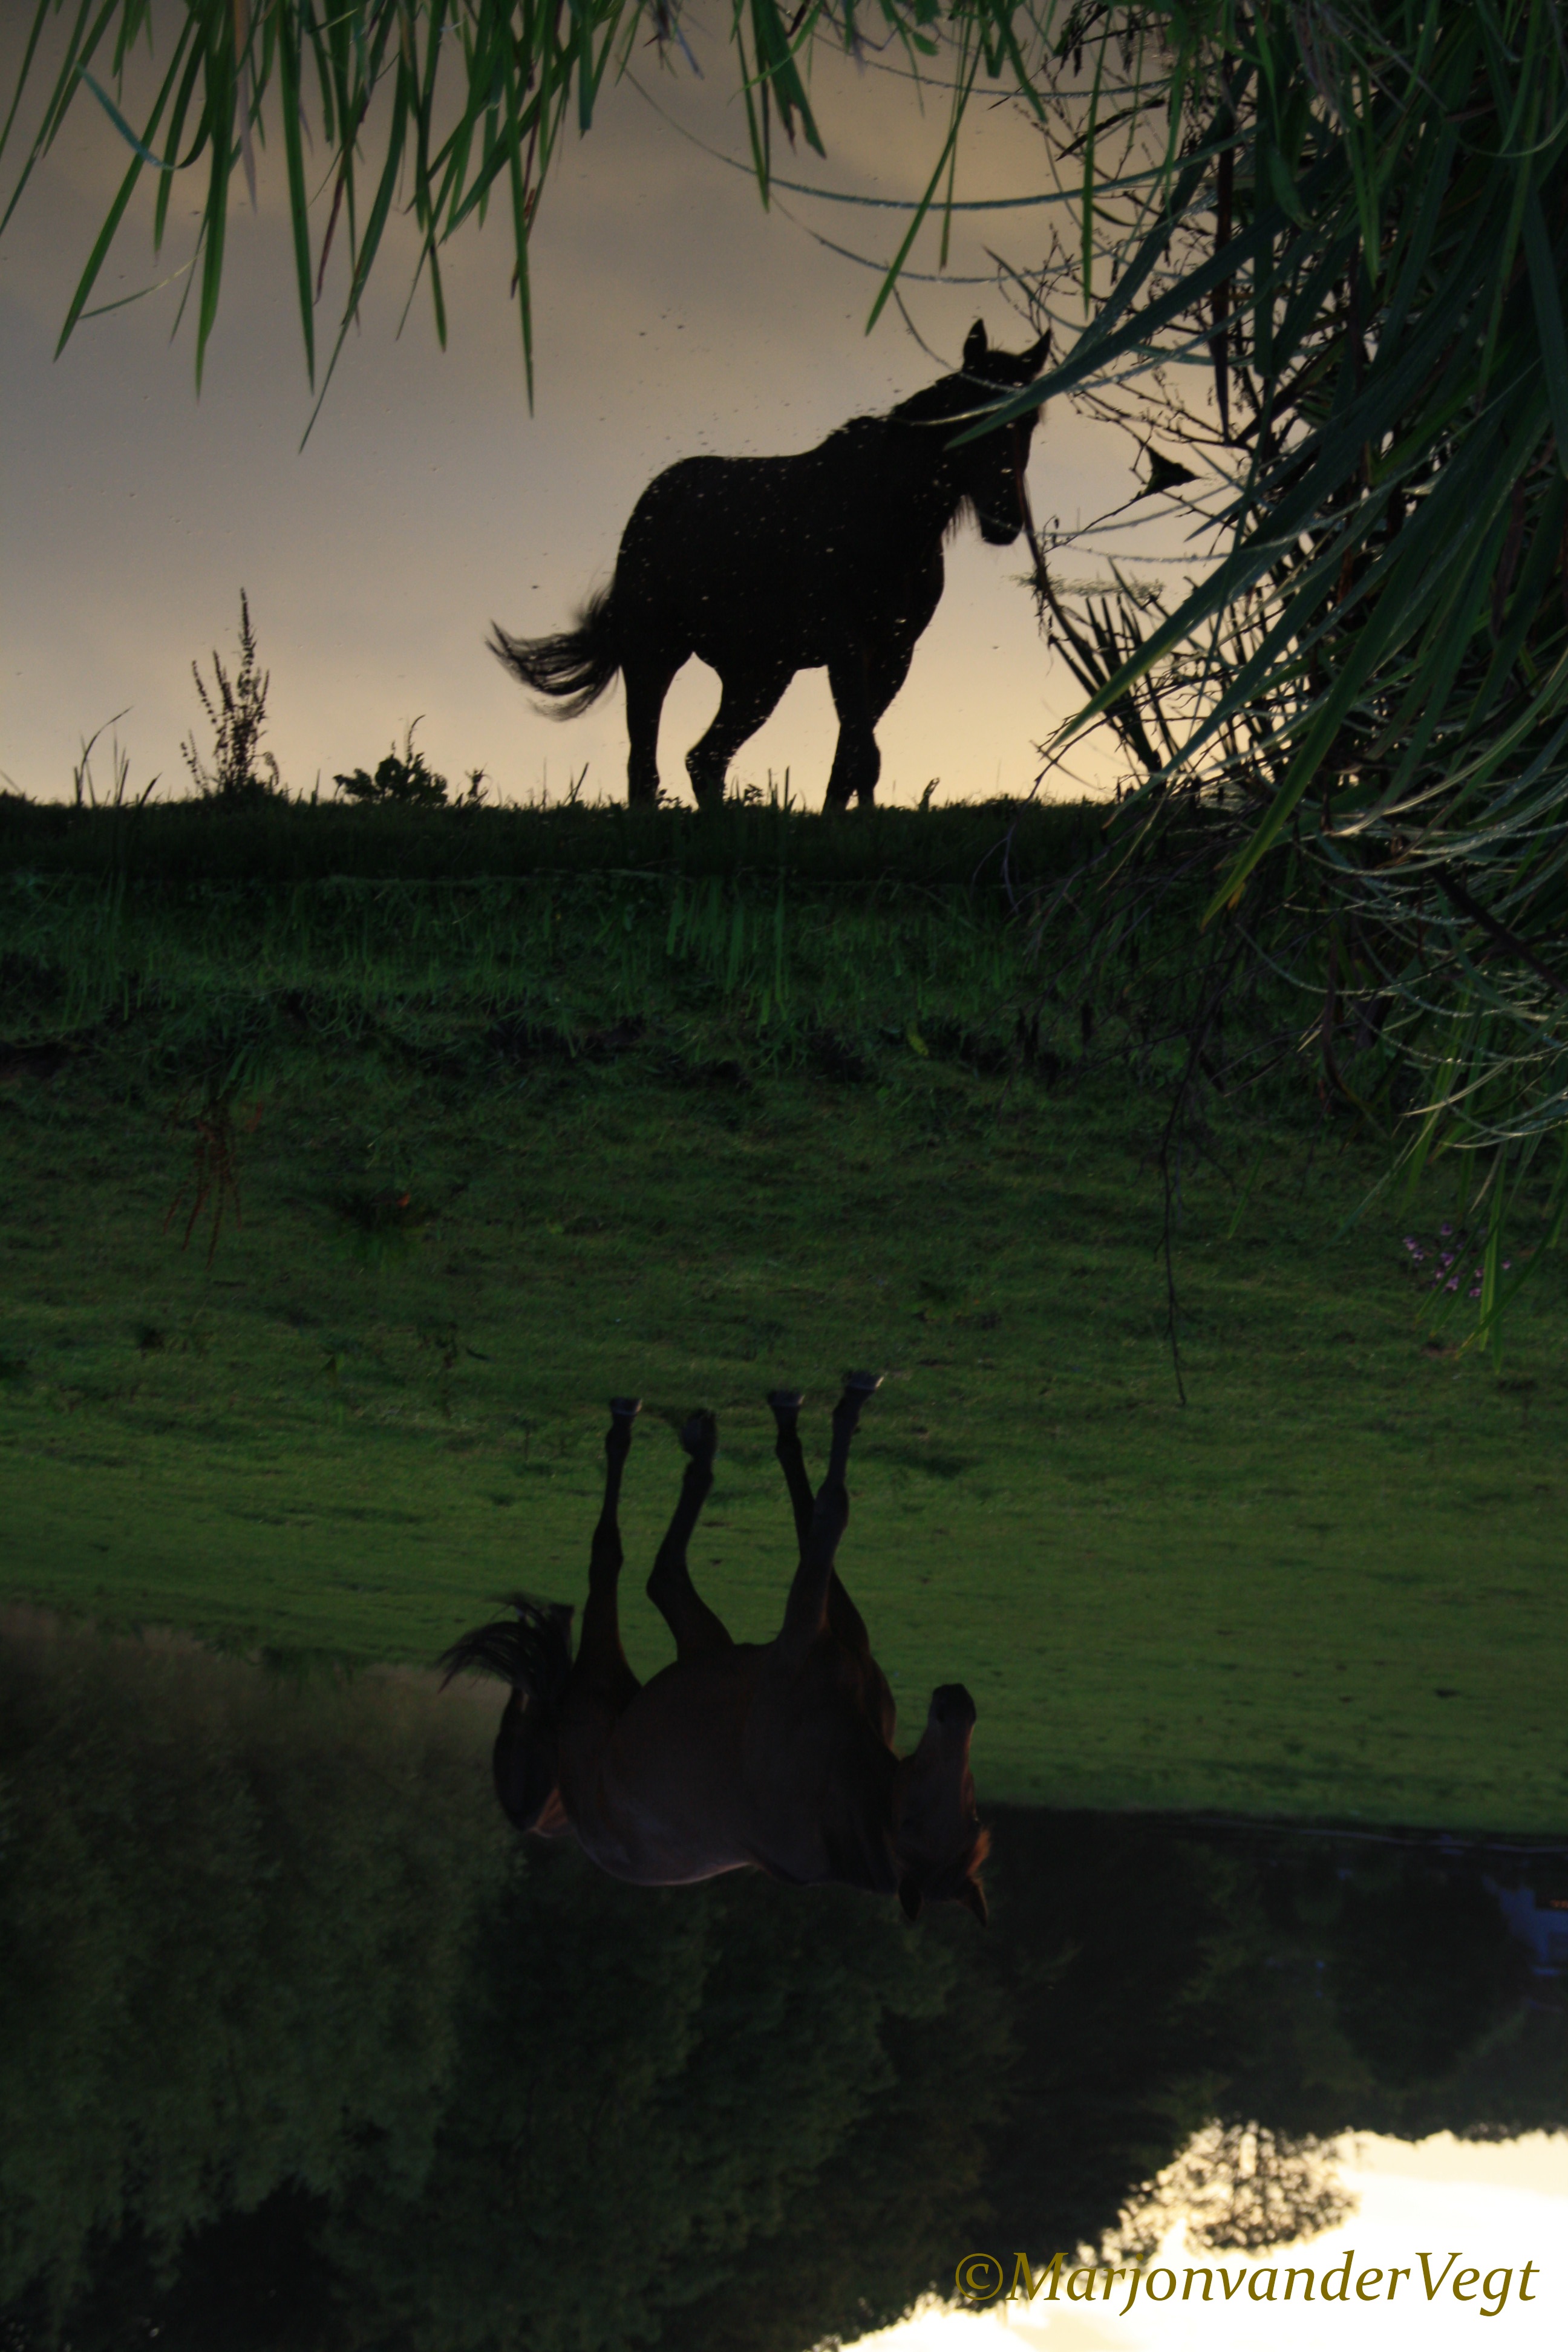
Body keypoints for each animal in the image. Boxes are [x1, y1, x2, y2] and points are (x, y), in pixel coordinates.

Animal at [439, 1375, 988, 1922]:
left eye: (918, 1821)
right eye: (976, 1819)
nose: (956, 1704)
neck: (844, 1789)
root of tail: (581, 1826)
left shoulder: (801, 1641)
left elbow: (830, 1509)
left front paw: (842, 1406)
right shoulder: (836, 1638)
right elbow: (819, 1513)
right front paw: (815, 1416)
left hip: (606, 1679)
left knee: (620, 1564)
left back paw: (641, 1437)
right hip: (697, 1654)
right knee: (656, 1573)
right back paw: (699, 1445)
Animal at [490, 319, 1050, 811]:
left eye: (1030, 419)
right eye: (972, 412)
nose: (1005, 519)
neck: (888, 515)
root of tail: (656, 499)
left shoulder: (895, 654)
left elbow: (850, 759)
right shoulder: (847, 644)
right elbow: (861, 755)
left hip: (758, 677)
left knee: (705, 759)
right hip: (655, 653)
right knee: (645, 766)